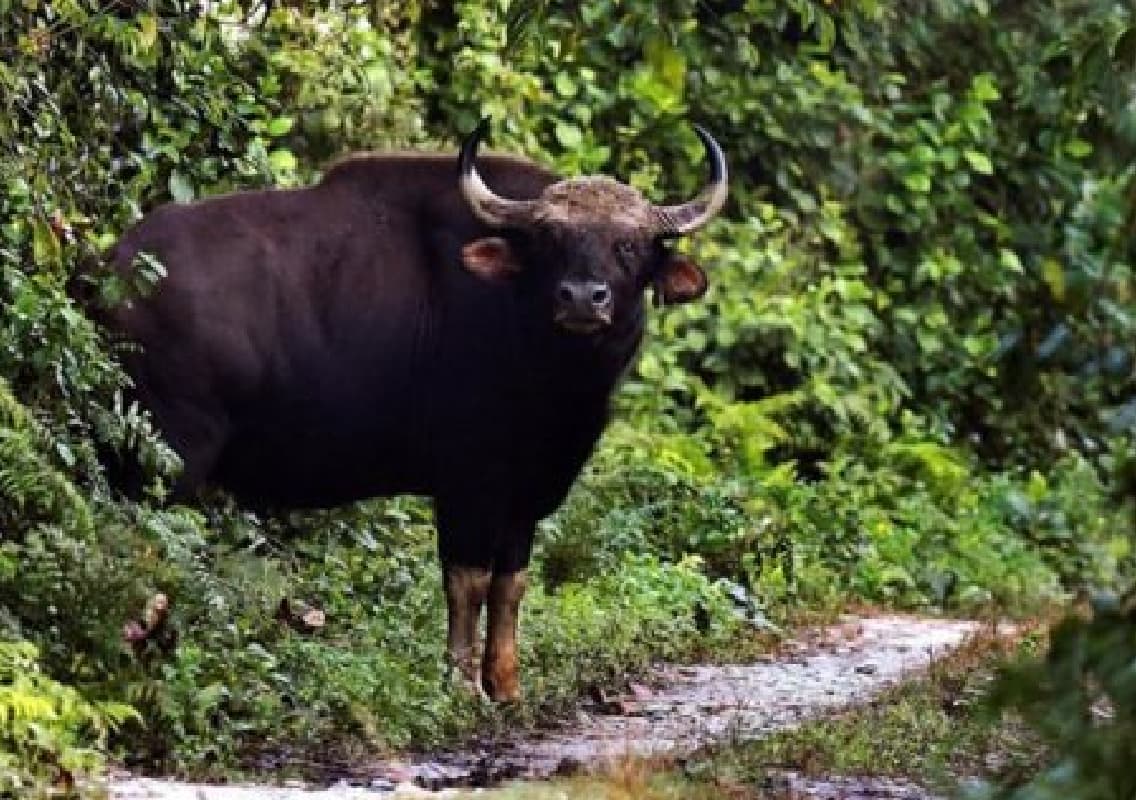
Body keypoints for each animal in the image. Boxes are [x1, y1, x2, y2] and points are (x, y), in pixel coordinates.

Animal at [102, 121, 727, 700]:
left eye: (629, 245)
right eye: (550, 241)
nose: (581, 298)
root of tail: (110, 270)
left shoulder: (524, 491)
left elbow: (511, 584)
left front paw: (506, 685)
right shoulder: (468, 484)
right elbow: (467, 581)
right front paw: (461, 685)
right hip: (167, 459)